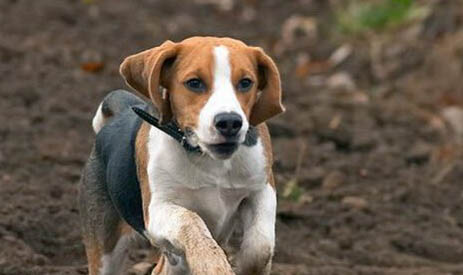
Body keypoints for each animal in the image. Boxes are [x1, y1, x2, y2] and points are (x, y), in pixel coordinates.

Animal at [79, 37, 282, 275]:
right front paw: (211, 264)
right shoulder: (158, 210)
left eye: (246, 82)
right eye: (194, 83)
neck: (207, 158)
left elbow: (260, 247)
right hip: (105, 247)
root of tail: (122, 113)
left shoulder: (262, 188)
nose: (230, 122)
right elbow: (190, 219)